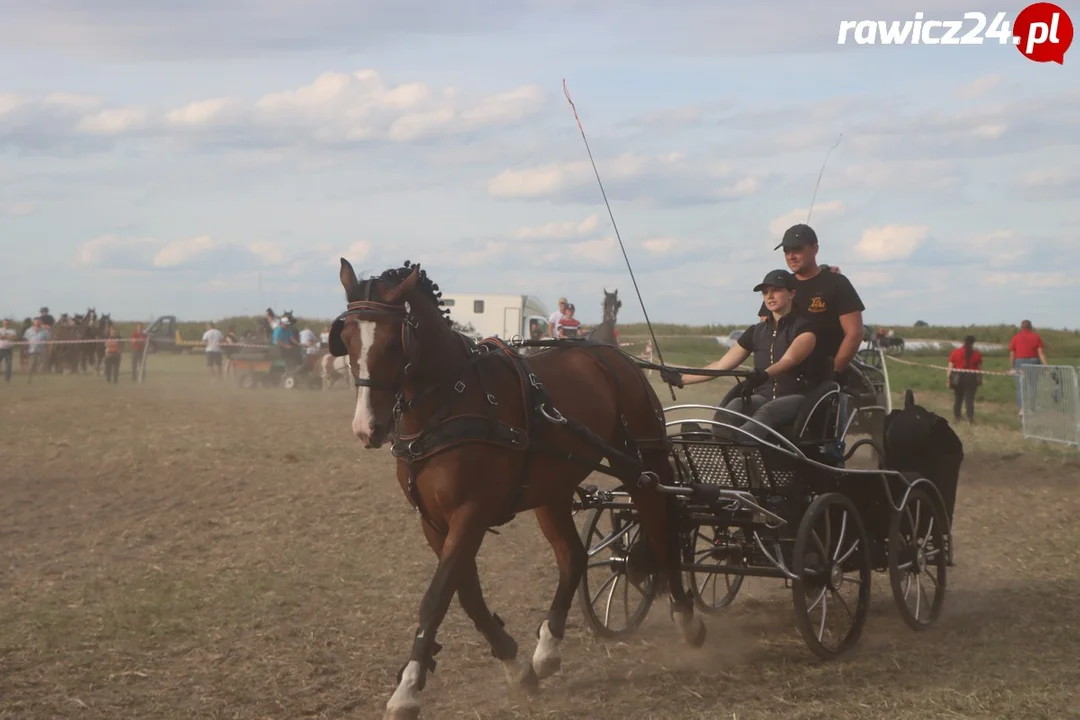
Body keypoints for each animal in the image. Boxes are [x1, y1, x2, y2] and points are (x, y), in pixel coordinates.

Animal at [328, 260, 708, 720]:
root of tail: (613, 357)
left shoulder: (471, 512)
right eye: (346, 338)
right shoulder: (433, 522)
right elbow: (467, 596)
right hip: (552, 490)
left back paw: (687, 618)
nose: (367, 427)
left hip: (642, 465)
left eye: (391, 341)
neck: (448, 404)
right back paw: (548, 649)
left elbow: (436, 598)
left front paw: (408, 689)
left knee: (660, 528)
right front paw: (517, 665)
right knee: (573, 557)